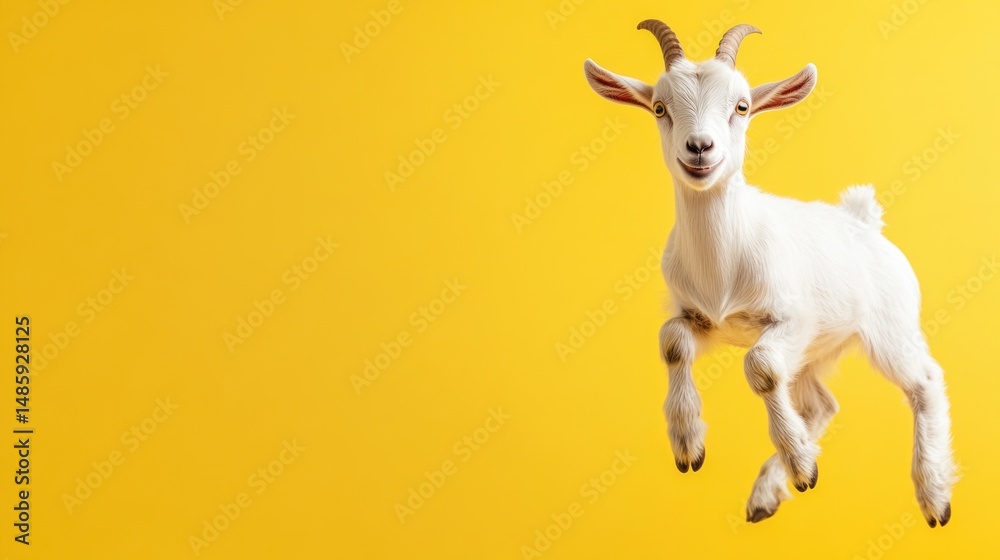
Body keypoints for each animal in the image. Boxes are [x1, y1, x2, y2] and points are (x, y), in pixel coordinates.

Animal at [583, 21, 955, 526]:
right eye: (660, 107)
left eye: (741, 106)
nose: (699, 148)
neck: (722, 267)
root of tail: (862, 220)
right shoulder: (703, 318)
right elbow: (673, 342)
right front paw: (688, 444)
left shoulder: (792, 319)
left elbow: (759, 367)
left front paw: (797, 461)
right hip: (815, 351)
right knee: (820, 402)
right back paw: (772, 491)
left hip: (889, 327)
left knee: (925, 382)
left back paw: (933, 495)